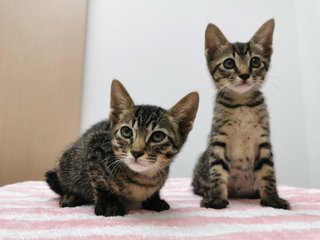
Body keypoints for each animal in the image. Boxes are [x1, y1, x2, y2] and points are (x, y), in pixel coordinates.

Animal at [46, 79, 199, 217]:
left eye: (158, 136)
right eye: (126, 131)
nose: (136, 152)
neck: (144, 178)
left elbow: (155, 190)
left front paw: (154, 200)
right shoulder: (94, 147)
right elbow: (101, 183)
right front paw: (109, 204)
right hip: (67, 162)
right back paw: (72, 196)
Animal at [192, 18, 290, 209]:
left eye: (255, 62)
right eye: (229, 63)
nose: (245, 75)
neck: (242, 104)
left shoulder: (263, 140)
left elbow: (268, 173)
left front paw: (272, 199)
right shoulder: (218, 140)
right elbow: (217, 171)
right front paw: (216, 198)